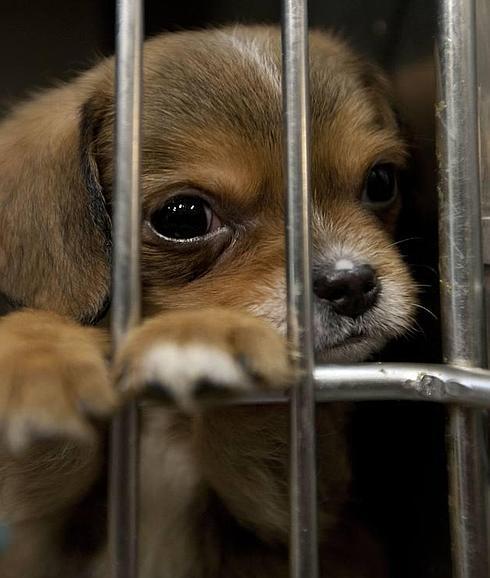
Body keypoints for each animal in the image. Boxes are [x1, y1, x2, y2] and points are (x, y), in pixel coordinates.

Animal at [0, 25, 416, 576]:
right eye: (183, 217)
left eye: (381, 181)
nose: (352, 285)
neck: (169, 424)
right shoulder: (45, 514)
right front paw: (35, 362)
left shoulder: (300, 508)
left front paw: (200, 334)